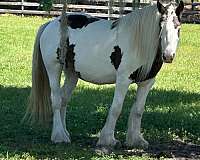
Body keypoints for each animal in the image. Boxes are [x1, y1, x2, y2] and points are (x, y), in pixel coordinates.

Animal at [24, 0, 184, 149]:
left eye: (178, 27)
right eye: (161, 27)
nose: (168, 55)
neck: (138, 42)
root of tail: (50, 24)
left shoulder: (147, 83)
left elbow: (138, 110)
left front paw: (136, 140)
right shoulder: (123, 80)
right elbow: (116, 108)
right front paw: (107, 140)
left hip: (72, 74)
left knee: (64, 99)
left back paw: (65, 132)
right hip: (54, 69)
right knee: (56, 100)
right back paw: (59, 136)